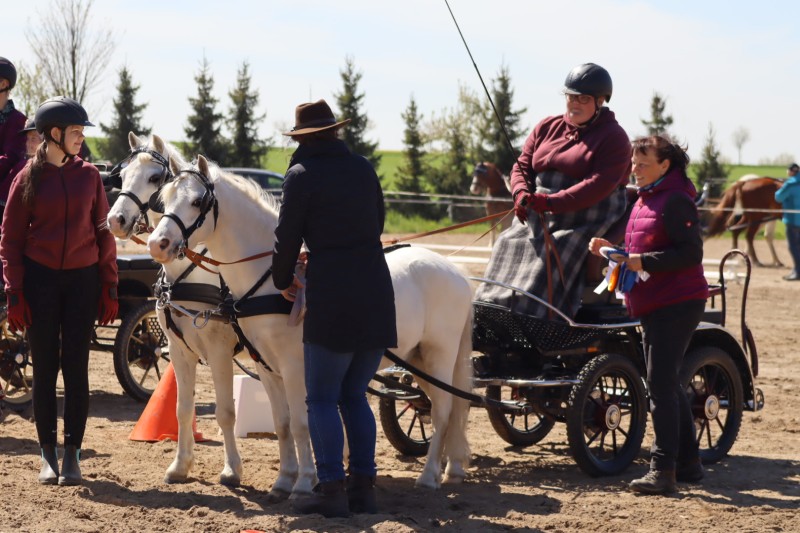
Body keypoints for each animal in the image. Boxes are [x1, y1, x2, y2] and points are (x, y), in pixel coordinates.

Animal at [106, 133, 247, 489]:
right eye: (122, 175)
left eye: (155, 178)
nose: (116, 220)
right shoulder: (179, 348)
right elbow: (182, 408)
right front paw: (180, 466)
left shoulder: (219, 351)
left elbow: (226, 411)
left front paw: (231, 470)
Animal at [146, 154, 474, 491]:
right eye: (164, 198)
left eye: (198, 201)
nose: (158, 244)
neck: (272, 279)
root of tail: (457, 271)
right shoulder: (262, 364)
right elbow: (279, 422)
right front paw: (284, 478)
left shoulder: (277, 362)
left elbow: (298, 423)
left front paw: (301, 480)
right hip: (418, 361)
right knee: (443, 408)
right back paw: (449, 469)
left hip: (439, 356)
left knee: (443, 411)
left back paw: (429, 475)